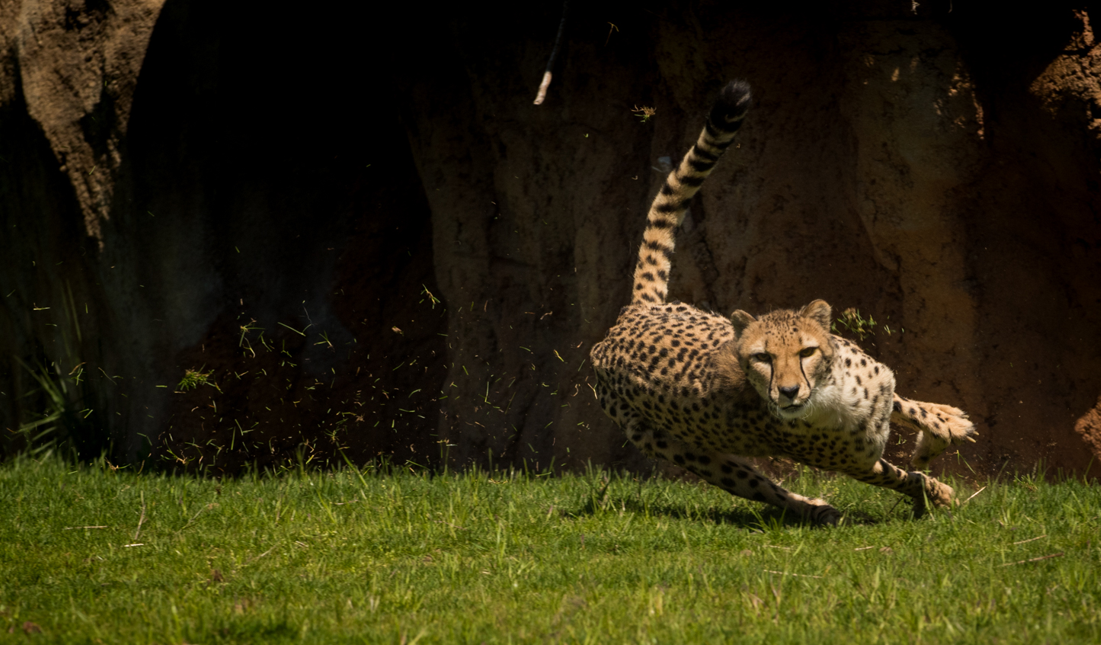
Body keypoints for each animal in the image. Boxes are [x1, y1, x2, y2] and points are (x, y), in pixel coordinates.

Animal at [590, 79, 977, 521]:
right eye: (762, 358)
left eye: (806, 351)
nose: (789, 392)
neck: (831, 392)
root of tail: (630, 318)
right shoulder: (857, 464)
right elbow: (900, 476)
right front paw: (938, 491)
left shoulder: (874, 381)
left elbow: (907, 406)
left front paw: (943, 428)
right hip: (685, 452)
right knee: (761, 487)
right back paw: (816, 509)